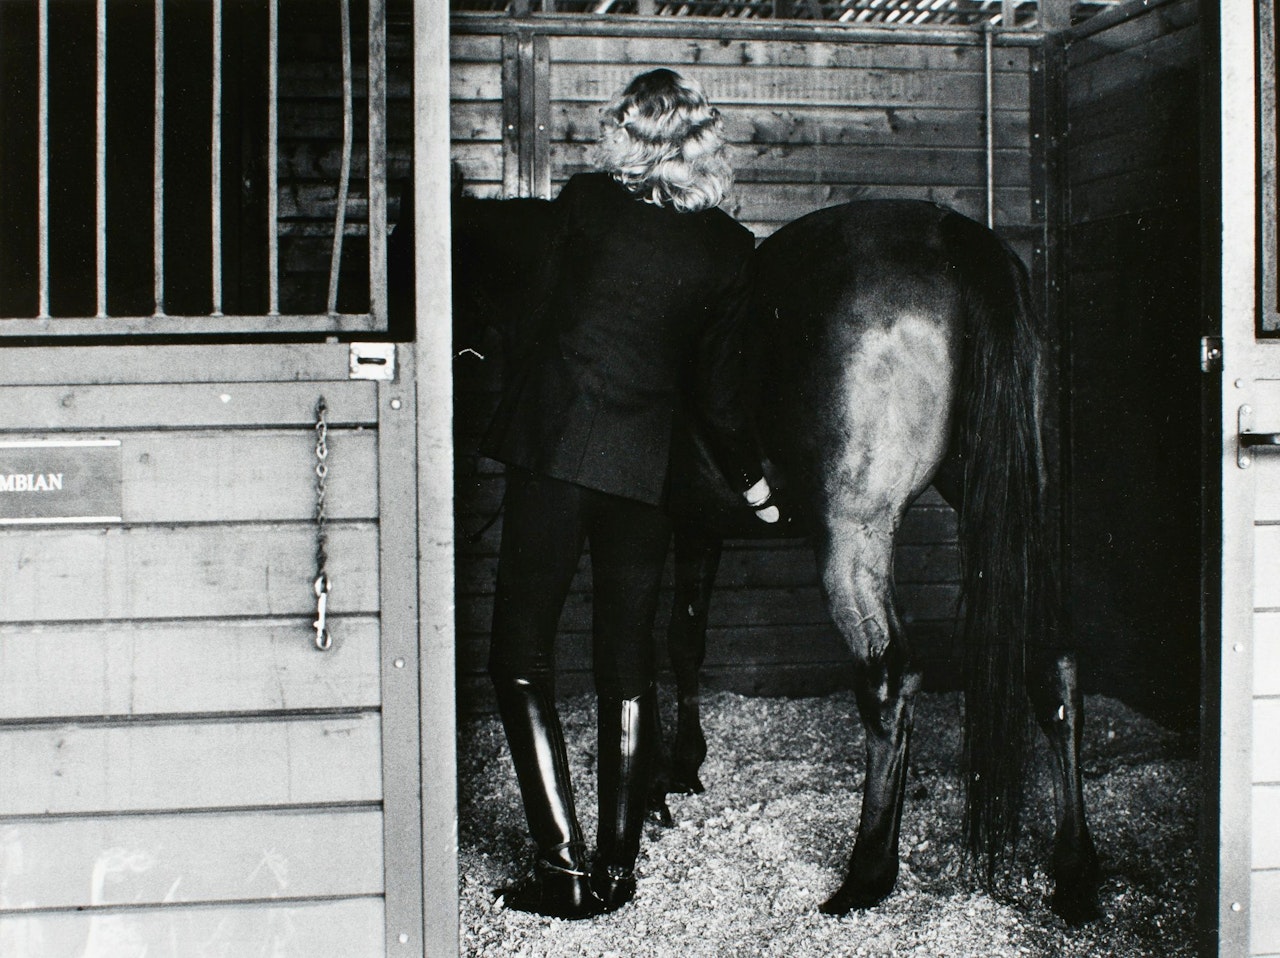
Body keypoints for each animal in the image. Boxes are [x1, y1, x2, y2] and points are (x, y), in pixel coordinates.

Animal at [437, 189, 1100, 922]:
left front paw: (660, 781)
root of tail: (952, 236)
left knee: (890, 678)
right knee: (1055, 660)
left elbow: (652, 649)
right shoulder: (694, 524)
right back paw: (1074, 871)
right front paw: (678, 768)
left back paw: (867, 872)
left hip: (854, 536)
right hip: (1012, 508)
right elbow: (681, 643)